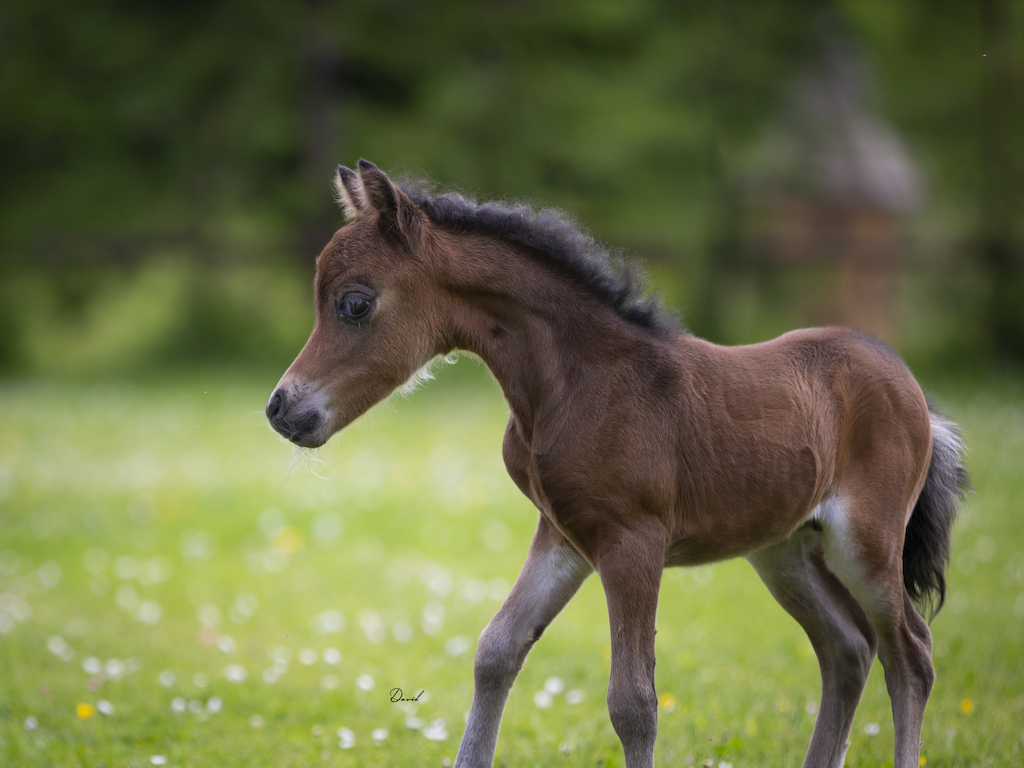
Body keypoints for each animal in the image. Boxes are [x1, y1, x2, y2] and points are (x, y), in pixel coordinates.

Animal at [266, 160, 969, 768]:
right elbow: (496, 651)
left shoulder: (634, 542)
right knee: (847, 648)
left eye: (355, 303)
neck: (574, 383)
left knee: (911, 655)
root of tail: (913, 389)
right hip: (785, 549)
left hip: (867, 543)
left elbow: (633, 703)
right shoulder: (565, 534)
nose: (281, 409)